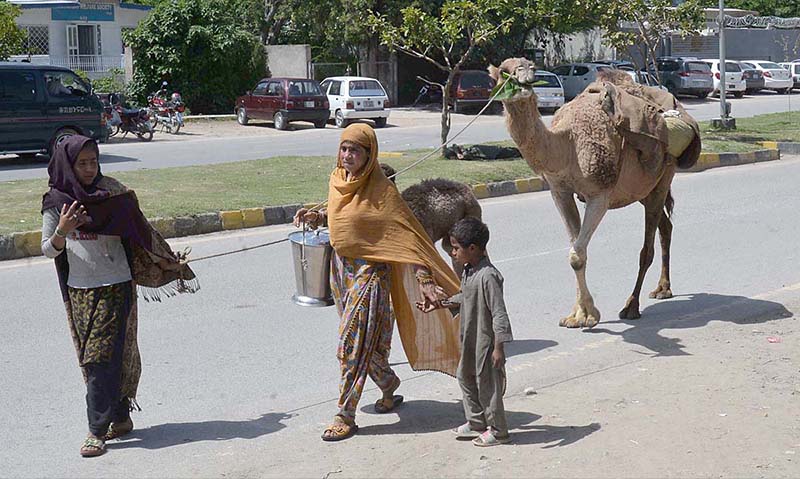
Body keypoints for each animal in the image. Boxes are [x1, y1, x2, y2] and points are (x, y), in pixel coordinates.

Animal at [488, 58, 700, 328]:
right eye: (505, 73)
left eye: (529, 65)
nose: (528, 76)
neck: (566, 143)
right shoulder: (560, 192)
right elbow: (576, 250)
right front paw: (576, 314)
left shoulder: (599, 194)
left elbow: (577, 254)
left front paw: (588, 316)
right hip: (642, 189)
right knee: (665, 225)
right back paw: (663, 289)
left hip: (664, 174)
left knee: (647, 248)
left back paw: (632, 306)